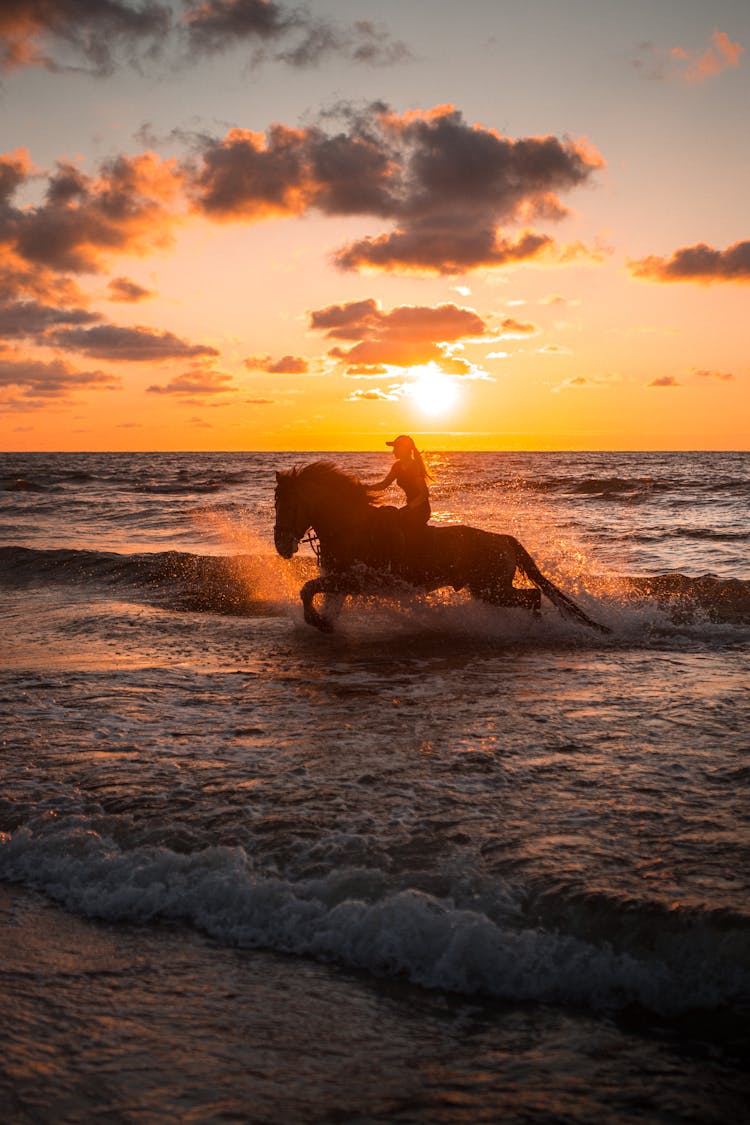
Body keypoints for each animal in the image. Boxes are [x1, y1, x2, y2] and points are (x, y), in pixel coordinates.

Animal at [274, 456, 611, 634]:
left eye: (288, 504)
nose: (280, 545)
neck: (350, 526)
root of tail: (503, 539)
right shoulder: (341, 580)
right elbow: (321, 598)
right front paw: (325, 623)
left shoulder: (356, 580)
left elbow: (307, 589)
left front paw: (317, 622)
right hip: (491, 589)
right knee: (533, 597)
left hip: (491, 589)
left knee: (533, 597)